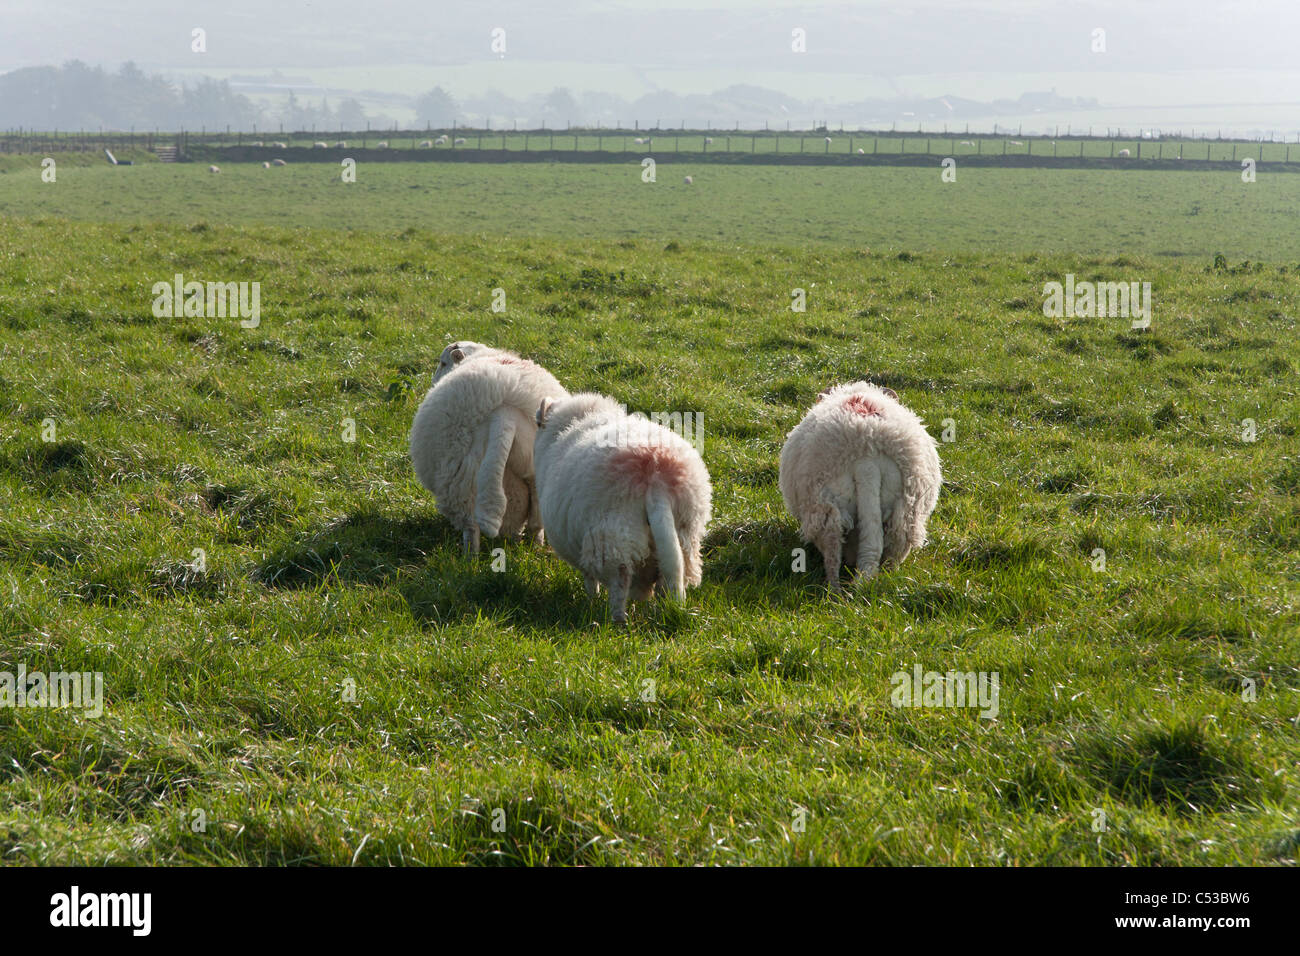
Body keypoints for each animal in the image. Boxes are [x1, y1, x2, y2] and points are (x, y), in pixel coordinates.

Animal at [408, 343, 566, 554]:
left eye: (443, 363)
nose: (432, 381)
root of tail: (504, 413)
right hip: (535, 470)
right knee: (535, 520)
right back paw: (535, 549)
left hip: (460, 478)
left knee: (470, 526)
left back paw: (469, 556)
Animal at [527, 392, 712, 624]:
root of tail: (656, 474)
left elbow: (589, 579)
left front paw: (592, 599)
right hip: (685, 533)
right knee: (669, 577)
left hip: (611, 537)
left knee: (619, 581)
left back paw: (616, 621)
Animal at [774, 379, 941, 590]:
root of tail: (866, 456)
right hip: (906, 510)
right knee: (894, 550)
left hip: (826, 510)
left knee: (832, 556)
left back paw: (833, 590)